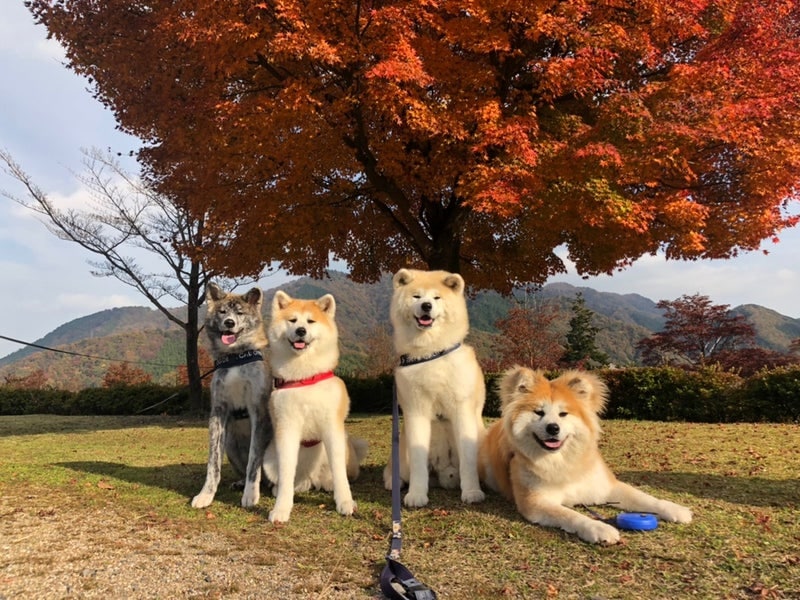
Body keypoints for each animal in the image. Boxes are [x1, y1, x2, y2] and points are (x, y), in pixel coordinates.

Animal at [191, 284, 276, 508]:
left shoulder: (258, 410)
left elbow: (254, 461)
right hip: (230, 445)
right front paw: (206, 494)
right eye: (222, 312)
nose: (229, 323)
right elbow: (213, 463)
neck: (236, 357)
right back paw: (240, 482)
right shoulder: (218, 411)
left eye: (240, 313)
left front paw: (250, 495)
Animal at [268, 292, 368, 524]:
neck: (305, 377)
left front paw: (345, 502)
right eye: (292, 320)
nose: (300, 331)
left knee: (337, 474)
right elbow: (286, 473)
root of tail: (311, 479)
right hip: (268, 459)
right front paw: (282, 508)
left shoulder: (332, 427)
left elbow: (339, 471)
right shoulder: (287, 428)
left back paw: (329, 484)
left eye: (310, 321)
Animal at [478, 366, 692, 544]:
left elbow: (645, 498)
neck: (561, 461)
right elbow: (572, 515)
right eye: (539, 412)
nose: (553, 428)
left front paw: (675, 509)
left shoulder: (607, 487)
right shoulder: (536, 502)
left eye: (563, 414)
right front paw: (598, 528)